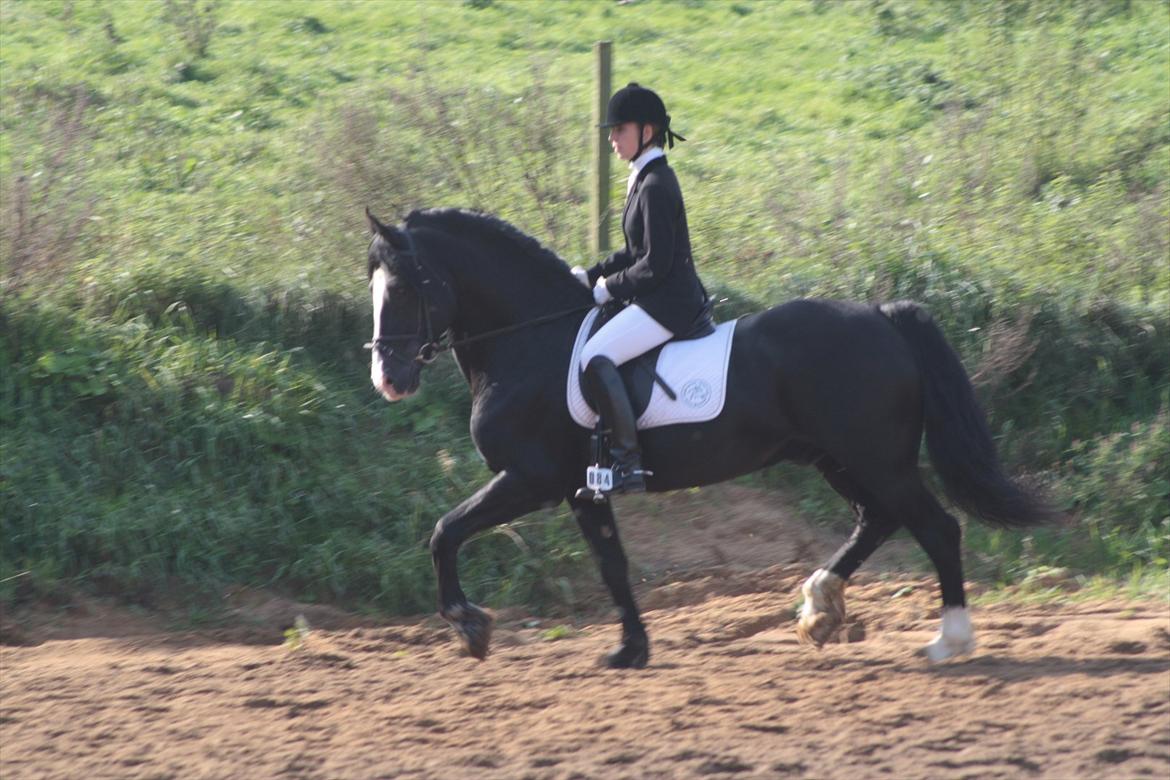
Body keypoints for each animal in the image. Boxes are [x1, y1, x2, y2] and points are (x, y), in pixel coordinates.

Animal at [365, 209, 1053, 673]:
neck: (530, 341)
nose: (388, 379)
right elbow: (612, 564)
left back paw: (948, 640)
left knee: (935, 528)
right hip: (839, 457)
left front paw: (469, 626)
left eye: (402, 288)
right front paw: (631, 649)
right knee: (877, 519)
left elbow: (445, 531)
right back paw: (819, 608)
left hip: (877, 459)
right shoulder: (581, 490)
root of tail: (882, 316)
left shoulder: (530, 481)